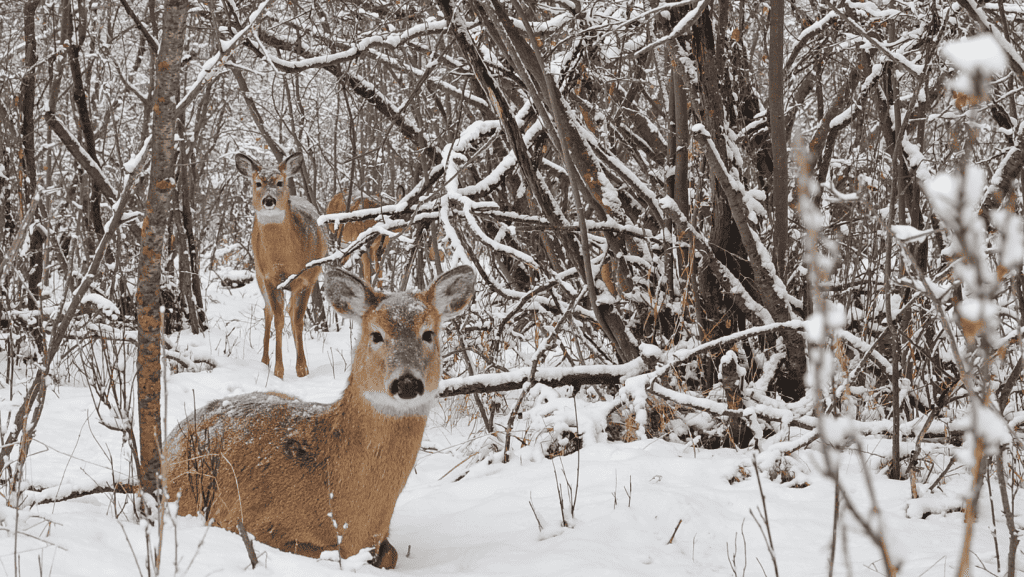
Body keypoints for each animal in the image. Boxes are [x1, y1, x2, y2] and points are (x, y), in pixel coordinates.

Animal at [163, 262, 475, 569]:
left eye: (428, 333)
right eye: (376, 334)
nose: (407, 383)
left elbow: (390, 554)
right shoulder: (247, 522)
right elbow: (328, 554)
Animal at [235, 151, 323, 381]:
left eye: (280, 182)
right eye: (257, 183)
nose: (269, 200)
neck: (285, 259)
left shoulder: (306, 278)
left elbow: (298, 320)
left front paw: (302, 369)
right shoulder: (270, 278)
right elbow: (278, 319)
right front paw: (278, 370)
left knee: (291, 312)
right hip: (258, 274)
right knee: (268, 311)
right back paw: (265, 360)